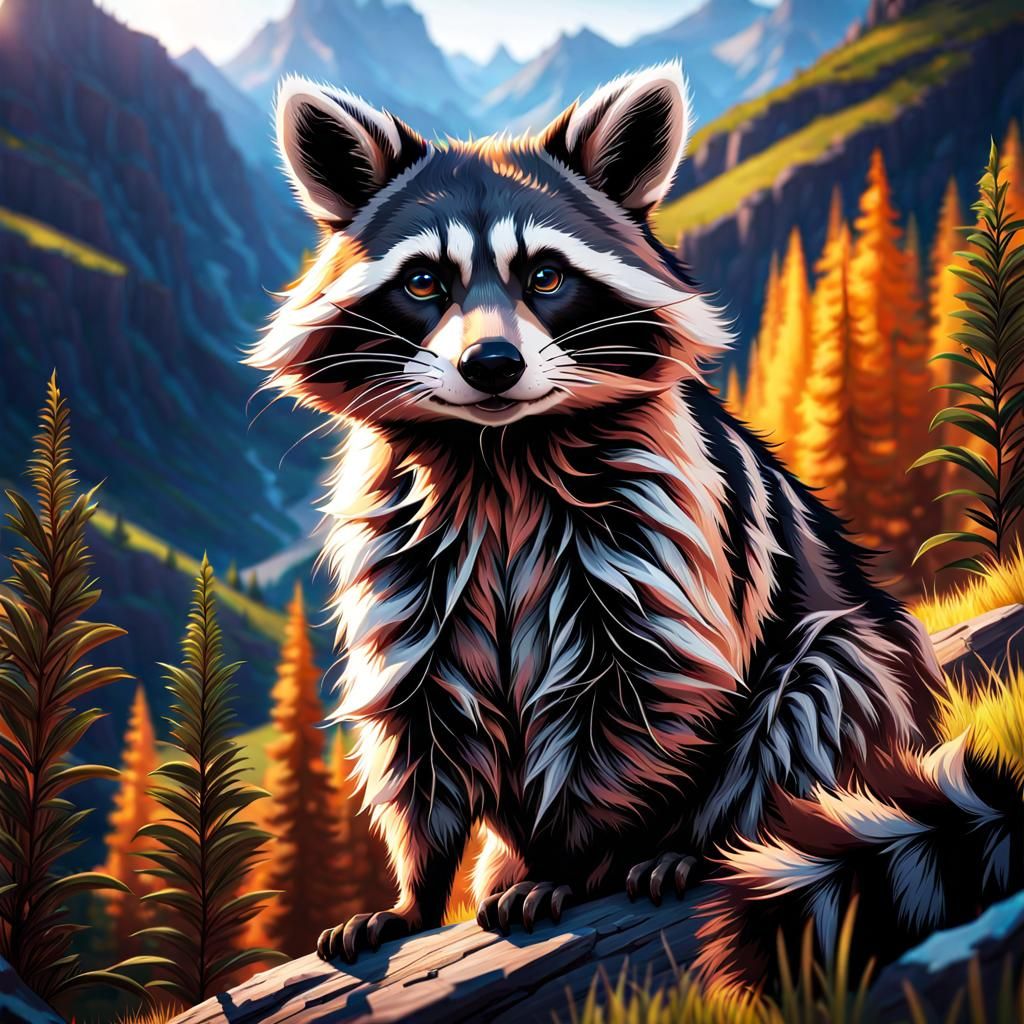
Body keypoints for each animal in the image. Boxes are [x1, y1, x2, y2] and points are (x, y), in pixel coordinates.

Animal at [247, 63, 1008, 982]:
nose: (491, 365)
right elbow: (420, 716)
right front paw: (416, 891)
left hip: (857, 663)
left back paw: (700, 842)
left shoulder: (659, 524)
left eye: (545, 277)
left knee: (819, 686)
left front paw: (574, 864)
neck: (498, 452)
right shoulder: (406, 544)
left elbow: (640, 693)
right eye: (425, 282)